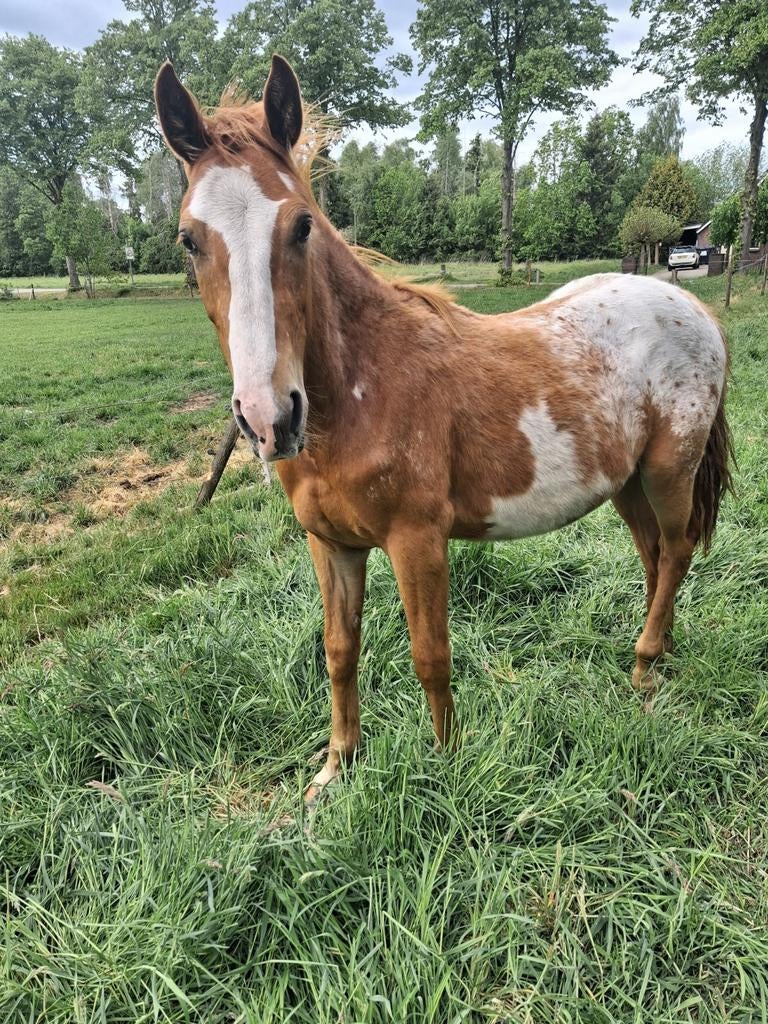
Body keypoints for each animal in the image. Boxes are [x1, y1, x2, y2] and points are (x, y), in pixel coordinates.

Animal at [154, 56, 733, 804]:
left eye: (302, 225)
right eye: (189, 239)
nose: (269, 418)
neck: (362, 393)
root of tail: (694, 307)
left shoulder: (417, 541)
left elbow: (431, 655)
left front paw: (448, 768)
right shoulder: (331, 544)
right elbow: (339, 651)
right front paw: (335, 768)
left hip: (668, 473)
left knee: (680, 549)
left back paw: (643, 666)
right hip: (626, 484)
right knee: (657, 558)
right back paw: (652, 661)